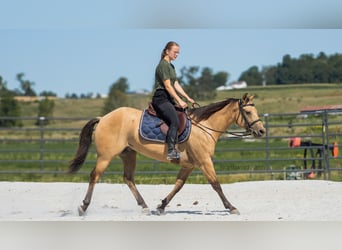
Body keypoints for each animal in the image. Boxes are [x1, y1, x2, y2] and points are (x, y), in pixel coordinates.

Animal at [68, 93, 266, 216]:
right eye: (248, 112)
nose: (262, 131)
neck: (205, 126)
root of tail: (103, 118)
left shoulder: (189, 165)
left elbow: (178, 185)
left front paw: (161, 206)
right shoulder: (204, 161)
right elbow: (216, 184)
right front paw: (231, 207)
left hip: (128, 154)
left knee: (128, 178)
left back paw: (144, 206)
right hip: (106, 156)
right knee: (95, 176)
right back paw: (83, 207)